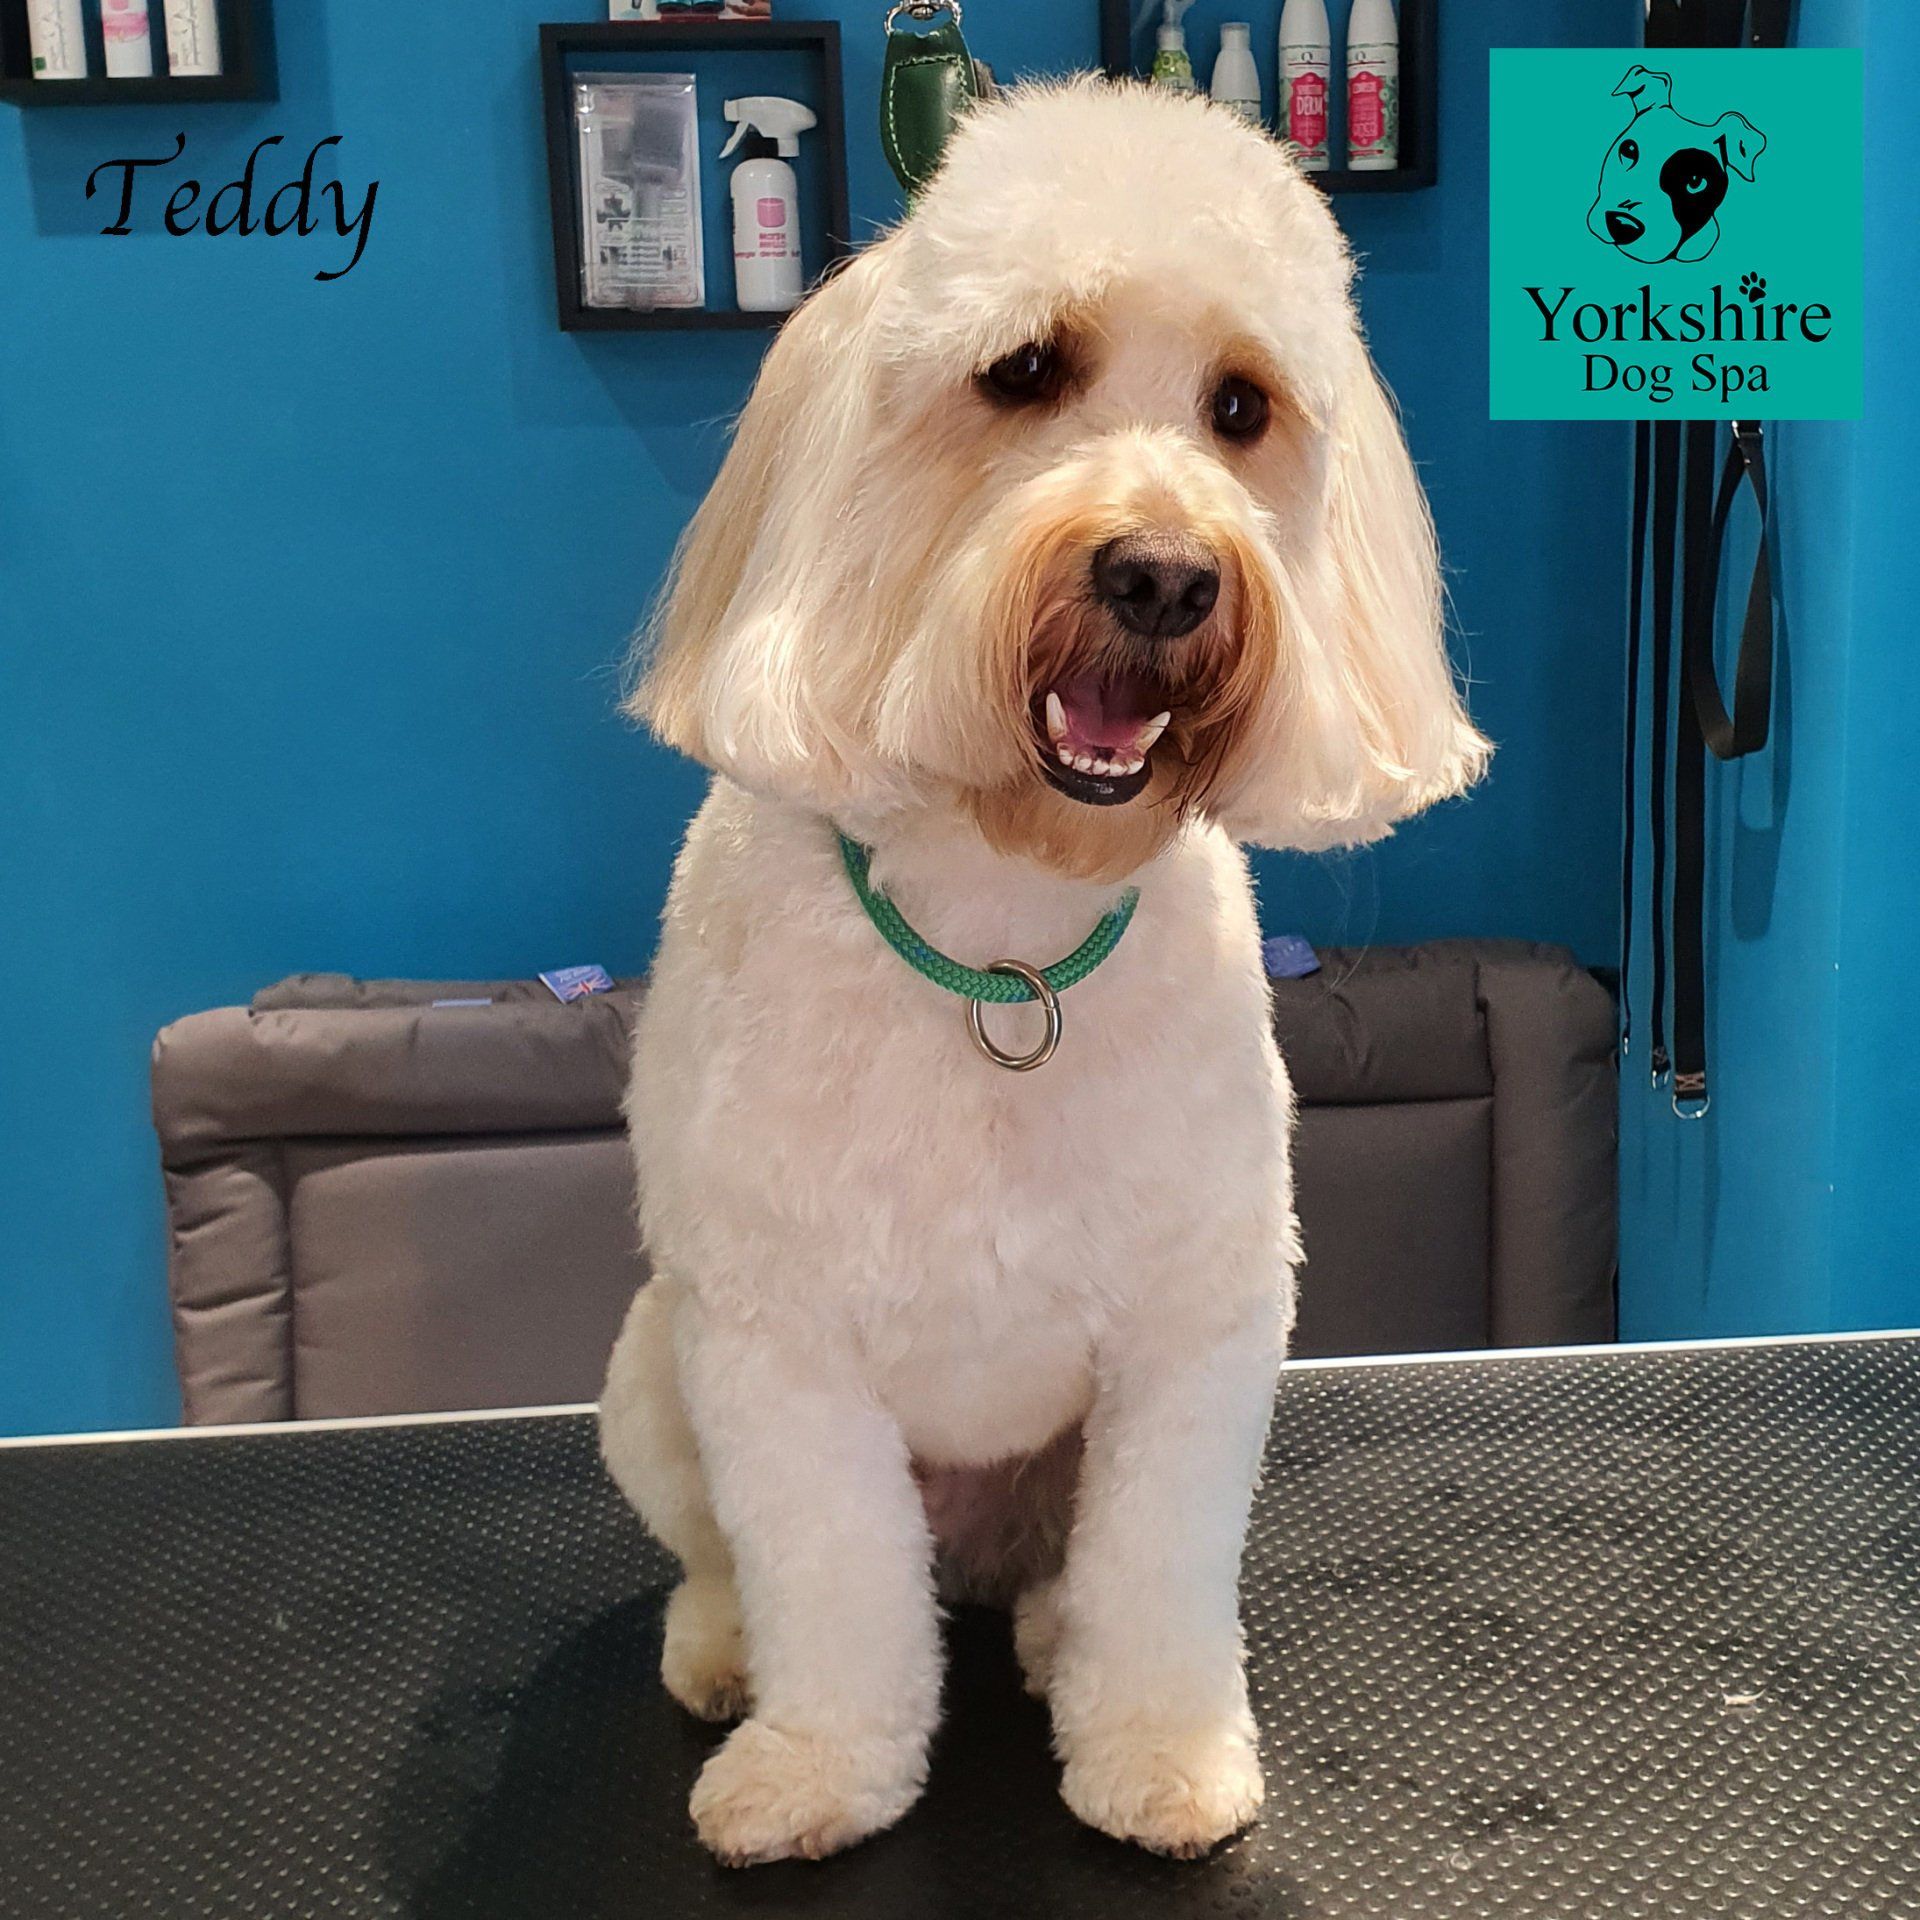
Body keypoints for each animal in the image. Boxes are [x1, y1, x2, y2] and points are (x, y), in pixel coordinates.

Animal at [598, 78, 1487, 1866]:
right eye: (1022, 371)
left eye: (1241, 406)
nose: (1164, 574)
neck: (1001, 947)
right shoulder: (775, 1345)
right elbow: (823, 1580)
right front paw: (820, 1768)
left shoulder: (1196, 1328)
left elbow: (1158, 1572)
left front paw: (1156, 1751)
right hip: (653, 1371)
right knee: (732, 1561)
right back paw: (725, 1655)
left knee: (1065, 1580)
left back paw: (1052, 1629)